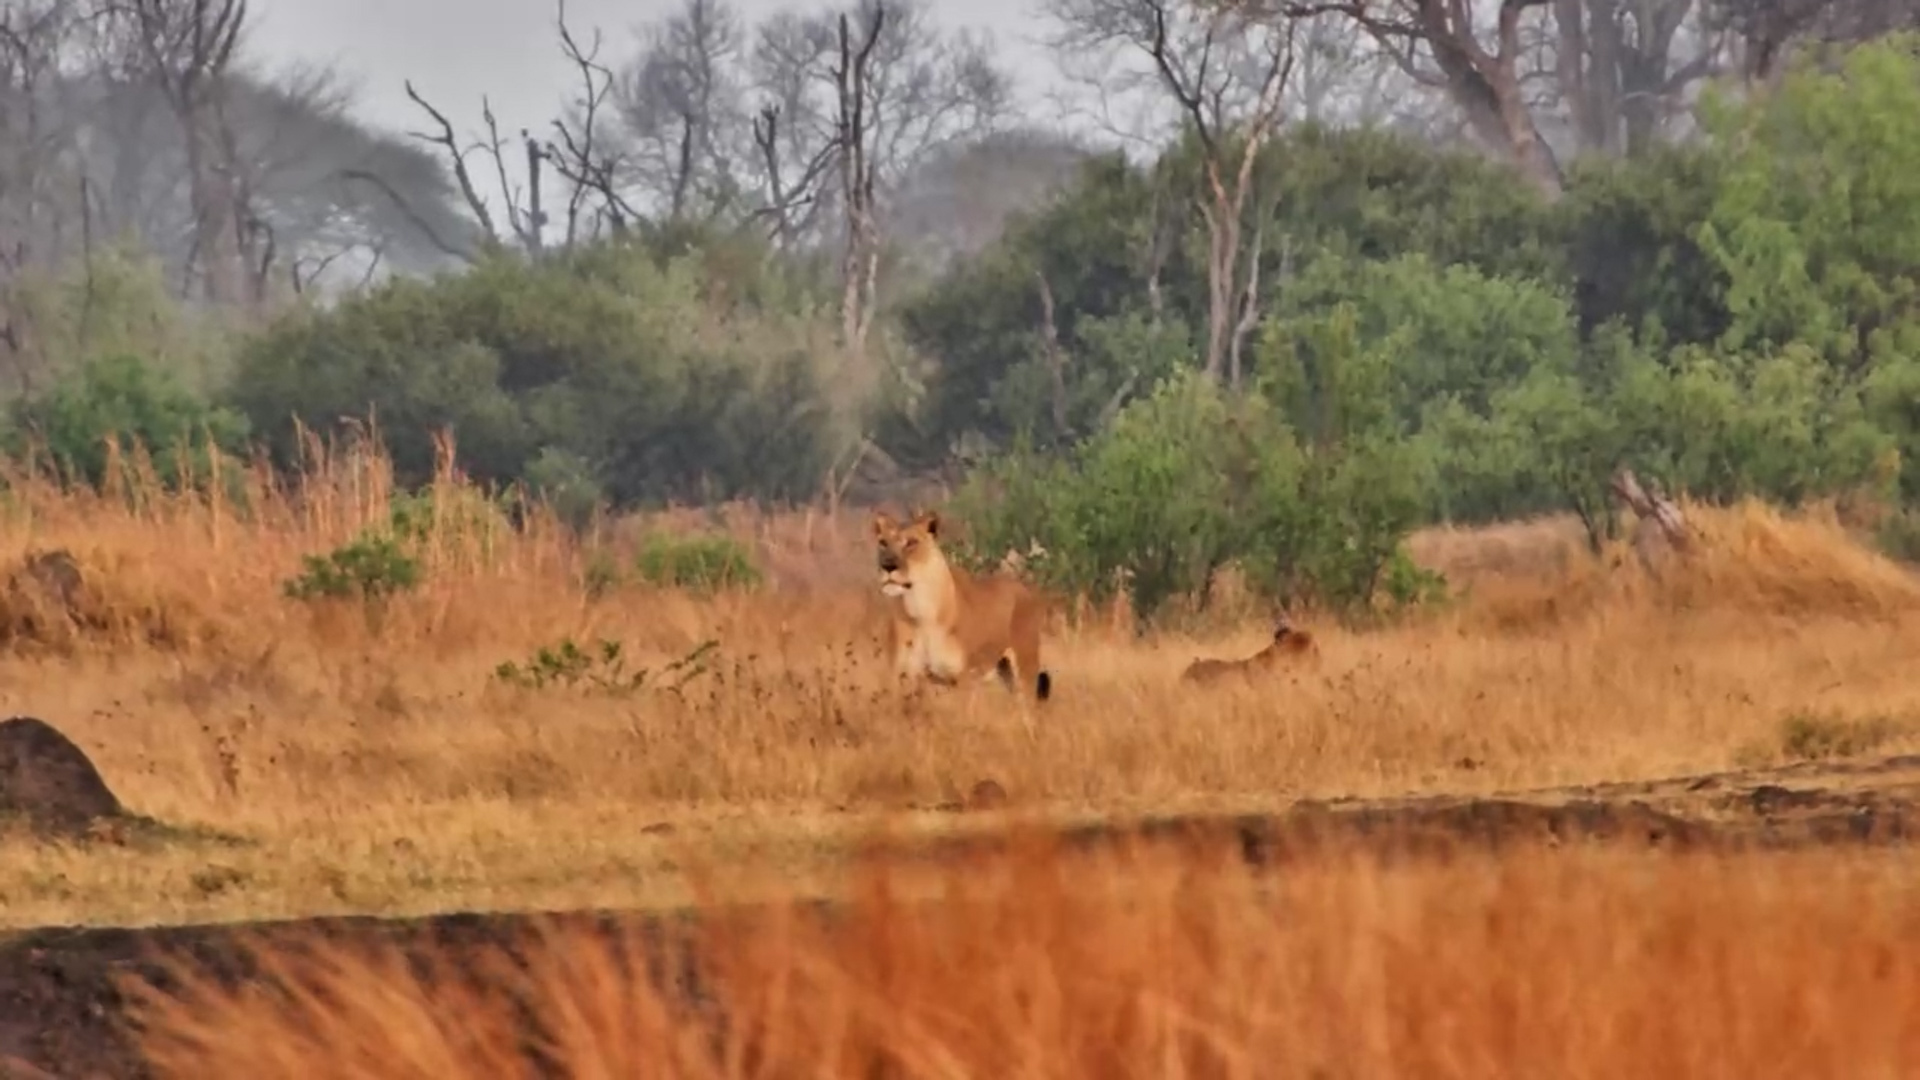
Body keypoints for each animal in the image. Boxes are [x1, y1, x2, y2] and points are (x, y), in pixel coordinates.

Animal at [871, 508, 1053, 701]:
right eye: (883, 543)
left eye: (911, 543)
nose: (887, 565)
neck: (920, 608)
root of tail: (1024, 587)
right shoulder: (904, 677)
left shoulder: (963, 678)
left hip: (1025, 668)